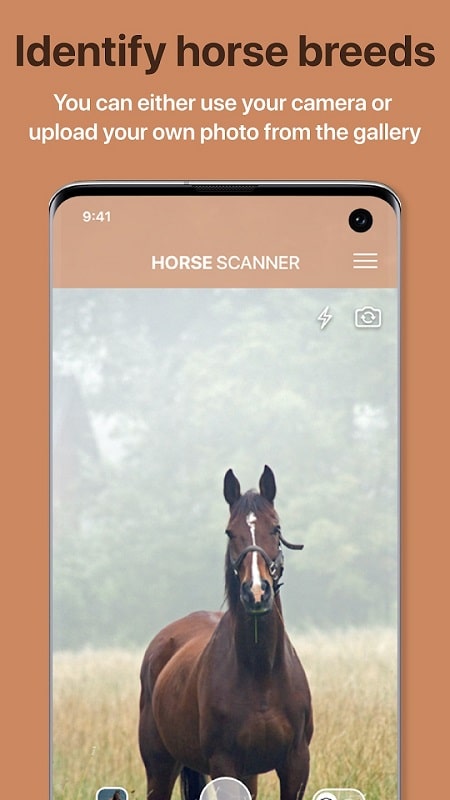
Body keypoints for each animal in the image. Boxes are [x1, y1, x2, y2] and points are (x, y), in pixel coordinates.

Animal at [138, 466, 313, 800]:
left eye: (276, 528)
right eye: (230, 532)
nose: (256, 592)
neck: (260, 673)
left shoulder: (296, 764)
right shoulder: (225, 764)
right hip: (160, 767)